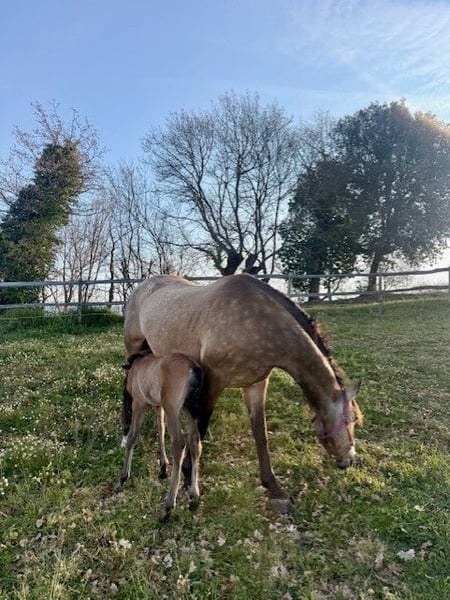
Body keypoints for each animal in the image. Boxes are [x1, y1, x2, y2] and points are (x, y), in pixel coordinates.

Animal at [115, 349, 204, 522]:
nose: (124, 425)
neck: (136, 366)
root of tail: (193, 368)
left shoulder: (139, 404)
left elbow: (132, 438)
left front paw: (123, 478)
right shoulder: (158, 405)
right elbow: (160, 430)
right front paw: (162, 467)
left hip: (173, 409)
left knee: (179, 443)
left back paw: (168, 506)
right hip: (190, 410)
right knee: (195, 441)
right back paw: (194, 495)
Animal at [124, 273, 363, 510]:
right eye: (351, 419)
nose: (349, 460)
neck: (257, 322)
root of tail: (143, 286)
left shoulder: (256, 385)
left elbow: (260, 434)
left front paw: (274, 489)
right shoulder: (214, 381)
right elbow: (199, 431)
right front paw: (188, 478)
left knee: (159, 410)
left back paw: (163, 464)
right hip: (134, 348)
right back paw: (126, 437)